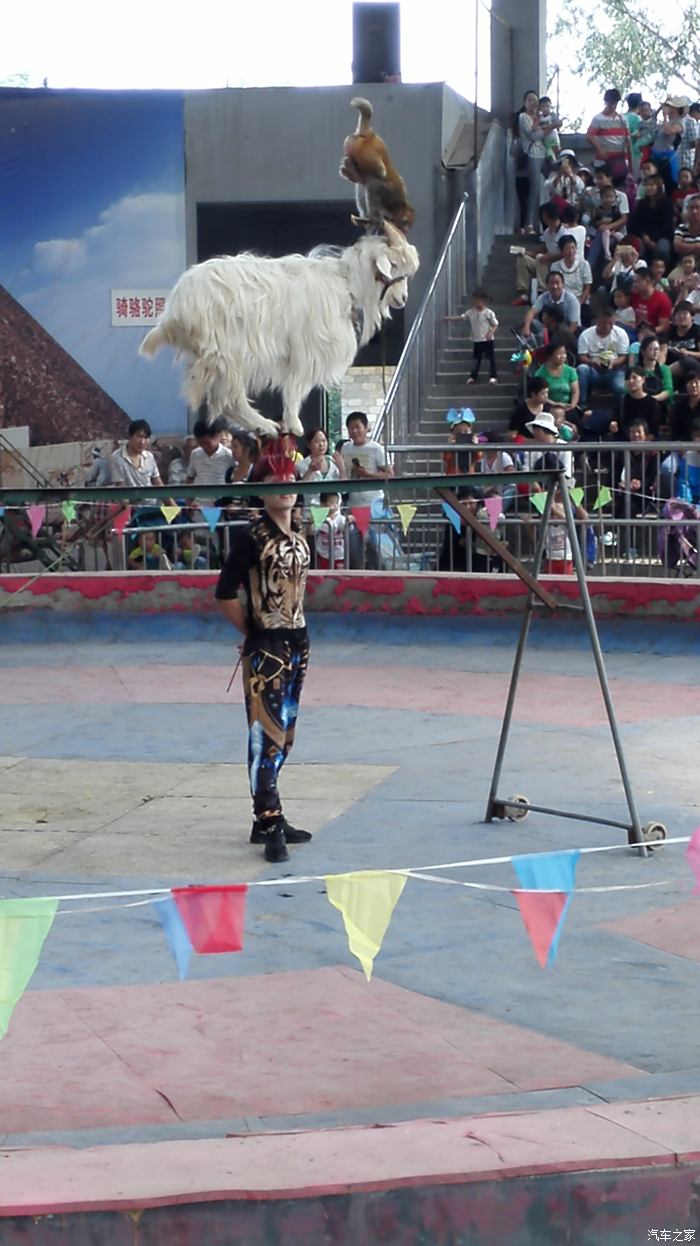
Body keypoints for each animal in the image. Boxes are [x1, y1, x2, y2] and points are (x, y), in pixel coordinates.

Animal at [138, 224, 416, 438]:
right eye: (393, 264)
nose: (403, 298)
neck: (346, 282)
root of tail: (175, 310)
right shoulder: (308, 350)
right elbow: (296, 386)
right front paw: (294, 425)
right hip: (228, 351)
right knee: (229, 399)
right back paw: (265, 426)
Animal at [338, 97, 413, 234]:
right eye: (408, 223)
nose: (406, 230)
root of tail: (370, 135)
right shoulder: (393, 199)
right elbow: (378, 187)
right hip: (369, 154)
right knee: (376, 178)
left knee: (364, 182)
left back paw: (350, 170)